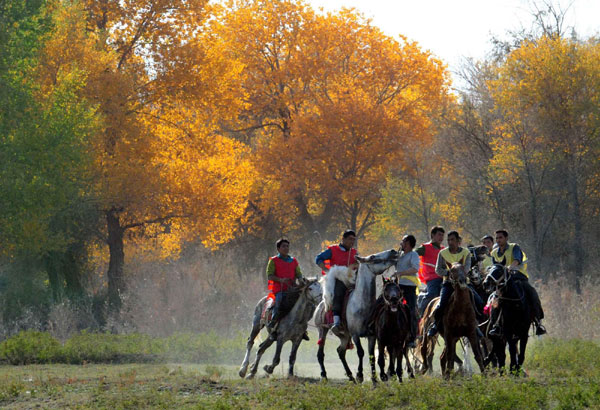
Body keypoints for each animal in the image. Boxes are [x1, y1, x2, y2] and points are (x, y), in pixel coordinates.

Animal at [312, 248, 400, 382]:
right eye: (373, 257)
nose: (393, 251)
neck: (362, 304)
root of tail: (321, 304)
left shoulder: (372, 335)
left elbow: (371, 355)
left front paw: (374, 379)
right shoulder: (355, 334)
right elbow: (361, 352)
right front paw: (360, 375)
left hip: (344, 335)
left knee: (341, 351)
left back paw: (350, 376)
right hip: (322, 330)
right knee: (320, 354)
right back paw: (324, 375)